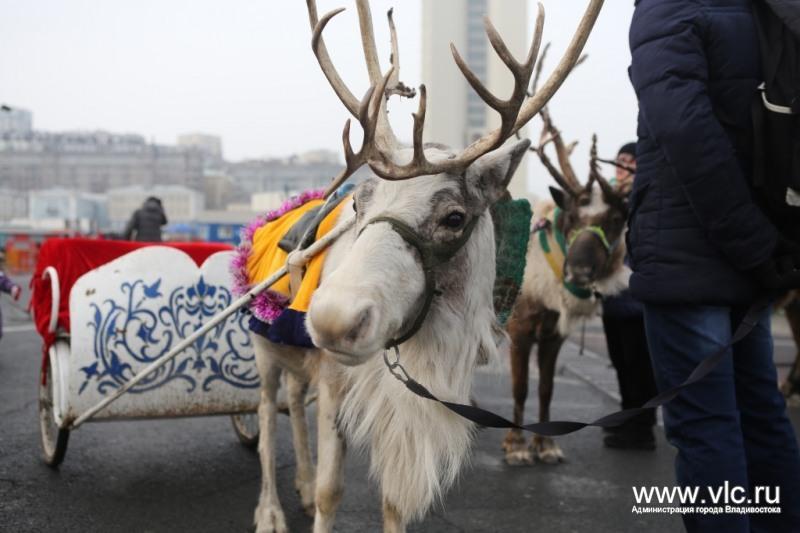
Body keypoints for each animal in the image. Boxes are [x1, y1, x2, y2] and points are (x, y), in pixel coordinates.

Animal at [246, 1, 604, 532]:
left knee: (292, 398)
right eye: (359, 204)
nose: (332, 320)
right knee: (268, 417)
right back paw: (270, 509)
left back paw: (301, 485)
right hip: (262, 348)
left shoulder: (408, 401)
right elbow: (333, 491)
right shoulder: (336, 379)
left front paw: (321, 490)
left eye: (454, 217)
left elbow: (394, 501)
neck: (425, 347)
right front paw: (317, 495)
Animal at [501, 103, 630, 465]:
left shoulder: (554, 335)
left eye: (617, 219)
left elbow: (546, 389)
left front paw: (546, 446)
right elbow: (520, 387)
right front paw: (516, 446)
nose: (579, 271)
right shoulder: (519, 330)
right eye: (571, 216)